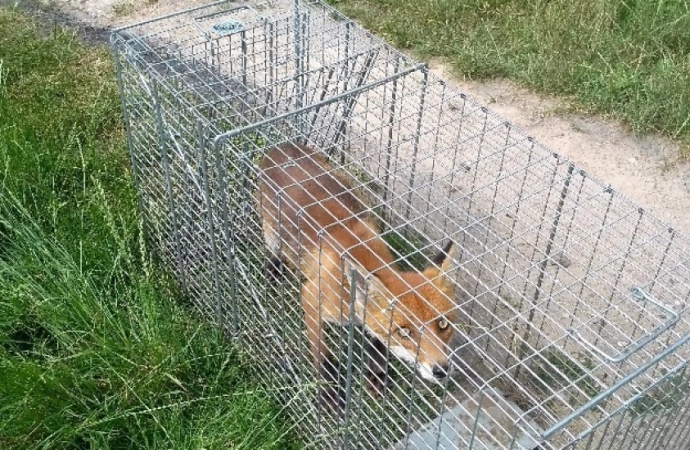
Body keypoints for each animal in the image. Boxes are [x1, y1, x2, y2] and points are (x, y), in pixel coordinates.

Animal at [254, 142, 456, 410]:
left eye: (443, 324)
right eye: (405, 332)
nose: (441, 370)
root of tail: (281, 147)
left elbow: (379, 343)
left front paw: (377, 373)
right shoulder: (311, 300)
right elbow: (322, 356)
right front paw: (328, 391)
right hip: (271, 234)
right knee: (276, 251)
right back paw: (274, 268)